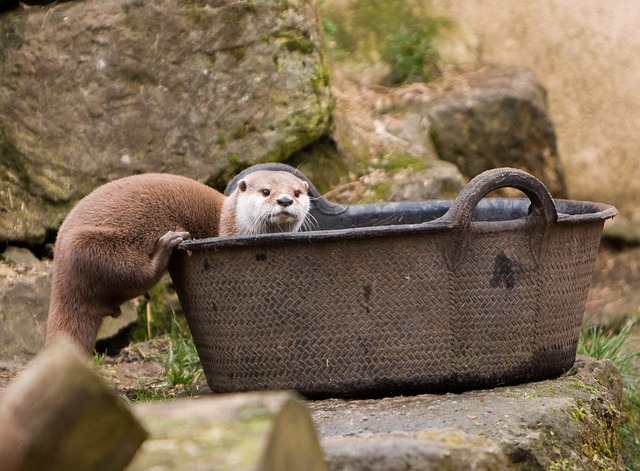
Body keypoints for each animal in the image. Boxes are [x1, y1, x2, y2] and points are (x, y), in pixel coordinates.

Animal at [45, 170, 310, 354]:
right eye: (266, 191)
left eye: (297, 192)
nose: (285, 200)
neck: (227, 222)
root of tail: (60, 278)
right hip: (89, 246)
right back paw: (167, 245)